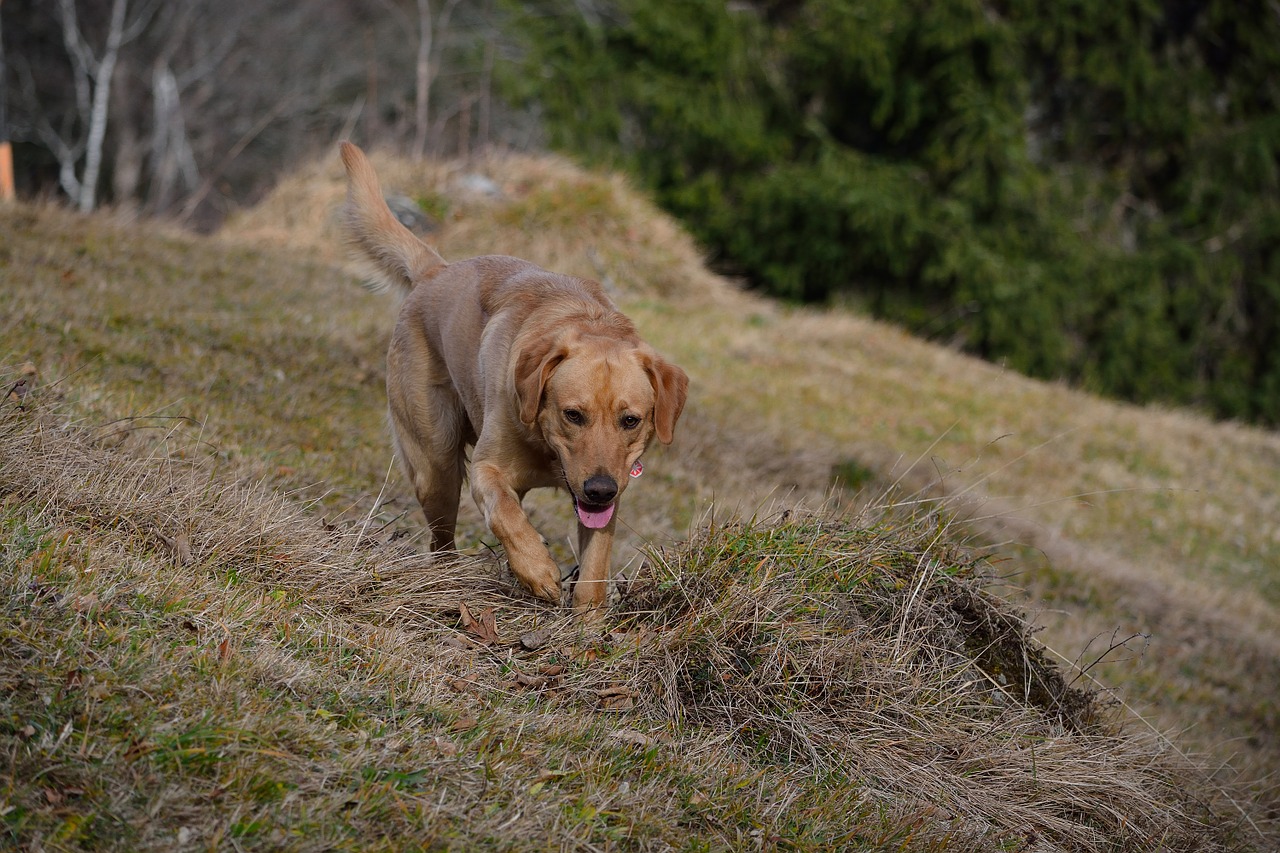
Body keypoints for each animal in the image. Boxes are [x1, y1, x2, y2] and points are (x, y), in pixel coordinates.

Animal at [335, 142, 686, 607]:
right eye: (573, 414)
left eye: (631, 420)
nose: (599, 489)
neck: (548, 453)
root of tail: (436, 270)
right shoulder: (489, 471)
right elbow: (505, 517)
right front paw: (537, 570)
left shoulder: (610, 495)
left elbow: (594, 571)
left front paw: (588, 619)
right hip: (436, 465)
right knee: (441, 540)